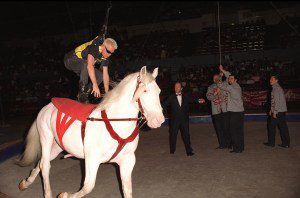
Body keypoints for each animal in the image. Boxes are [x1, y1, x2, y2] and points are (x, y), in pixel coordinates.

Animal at [15, 67, 164, 198]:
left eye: (159, 91)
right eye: (144, 91)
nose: (159, 120)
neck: (115, 123)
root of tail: (47, 105)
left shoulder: (127, 161)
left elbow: (127, 189)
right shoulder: (92, 159)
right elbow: (88, 186)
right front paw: (65, 195)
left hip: (57, 146)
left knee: (41, 163)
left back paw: (26, 182)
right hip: (46, 138)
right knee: (45, 166)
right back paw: (47, 193)